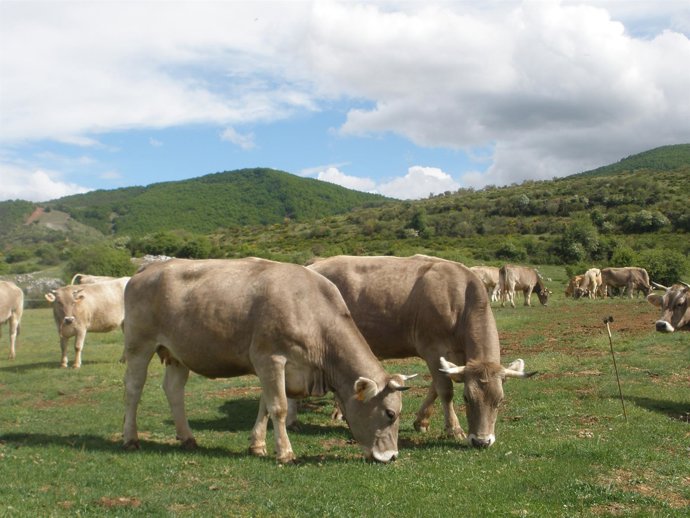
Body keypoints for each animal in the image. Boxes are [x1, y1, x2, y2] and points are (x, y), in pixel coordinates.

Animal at [121, 258, 412, 464]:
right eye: (389, 413)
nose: (392, 456)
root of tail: (148, 268)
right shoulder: (270, 358)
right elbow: (279, 407)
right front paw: (285, 452)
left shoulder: (270, 367)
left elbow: (264, 405)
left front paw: (257, 445)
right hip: (139, 345)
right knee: (133, 389)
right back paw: (130, 438)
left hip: (178, 353)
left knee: (174, 390)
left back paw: (187, 437)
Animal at [308, 254, 535, 448]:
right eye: (466, 398)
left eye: (500, 400)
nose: (481, 441)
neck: (459, 298)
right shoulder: (433, 349)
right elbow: (445, 390)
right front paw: (454, 429)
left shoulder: (451, 360)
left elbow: (435, 387)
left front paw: (422, 421)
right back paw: (338, 411)